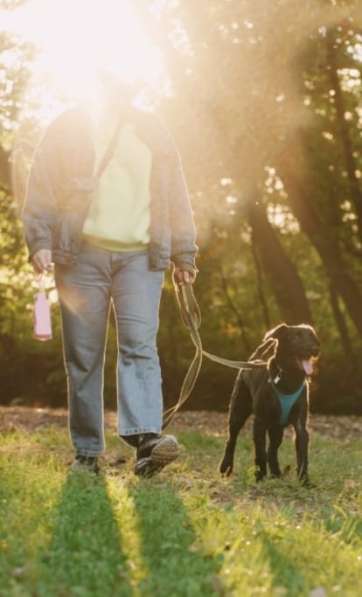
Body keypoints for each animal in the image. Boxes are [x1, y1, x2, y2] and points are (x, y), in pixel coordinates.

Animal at [221, 322, 320, 484]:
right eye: (296, 337)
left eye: (311, 336)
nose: (315, 349)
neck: (289, 378)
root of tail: (253, 360)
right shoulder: (260, 422)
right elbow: (260, 452)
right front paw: (260, 476)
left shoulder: (301, 425)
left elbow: (302, 454)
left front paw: (304, 481)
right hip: (237, 412)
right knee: (232, 439)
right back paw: (226, 467)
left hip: (277, 428)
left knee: (272, 450)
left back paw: (276, 473)